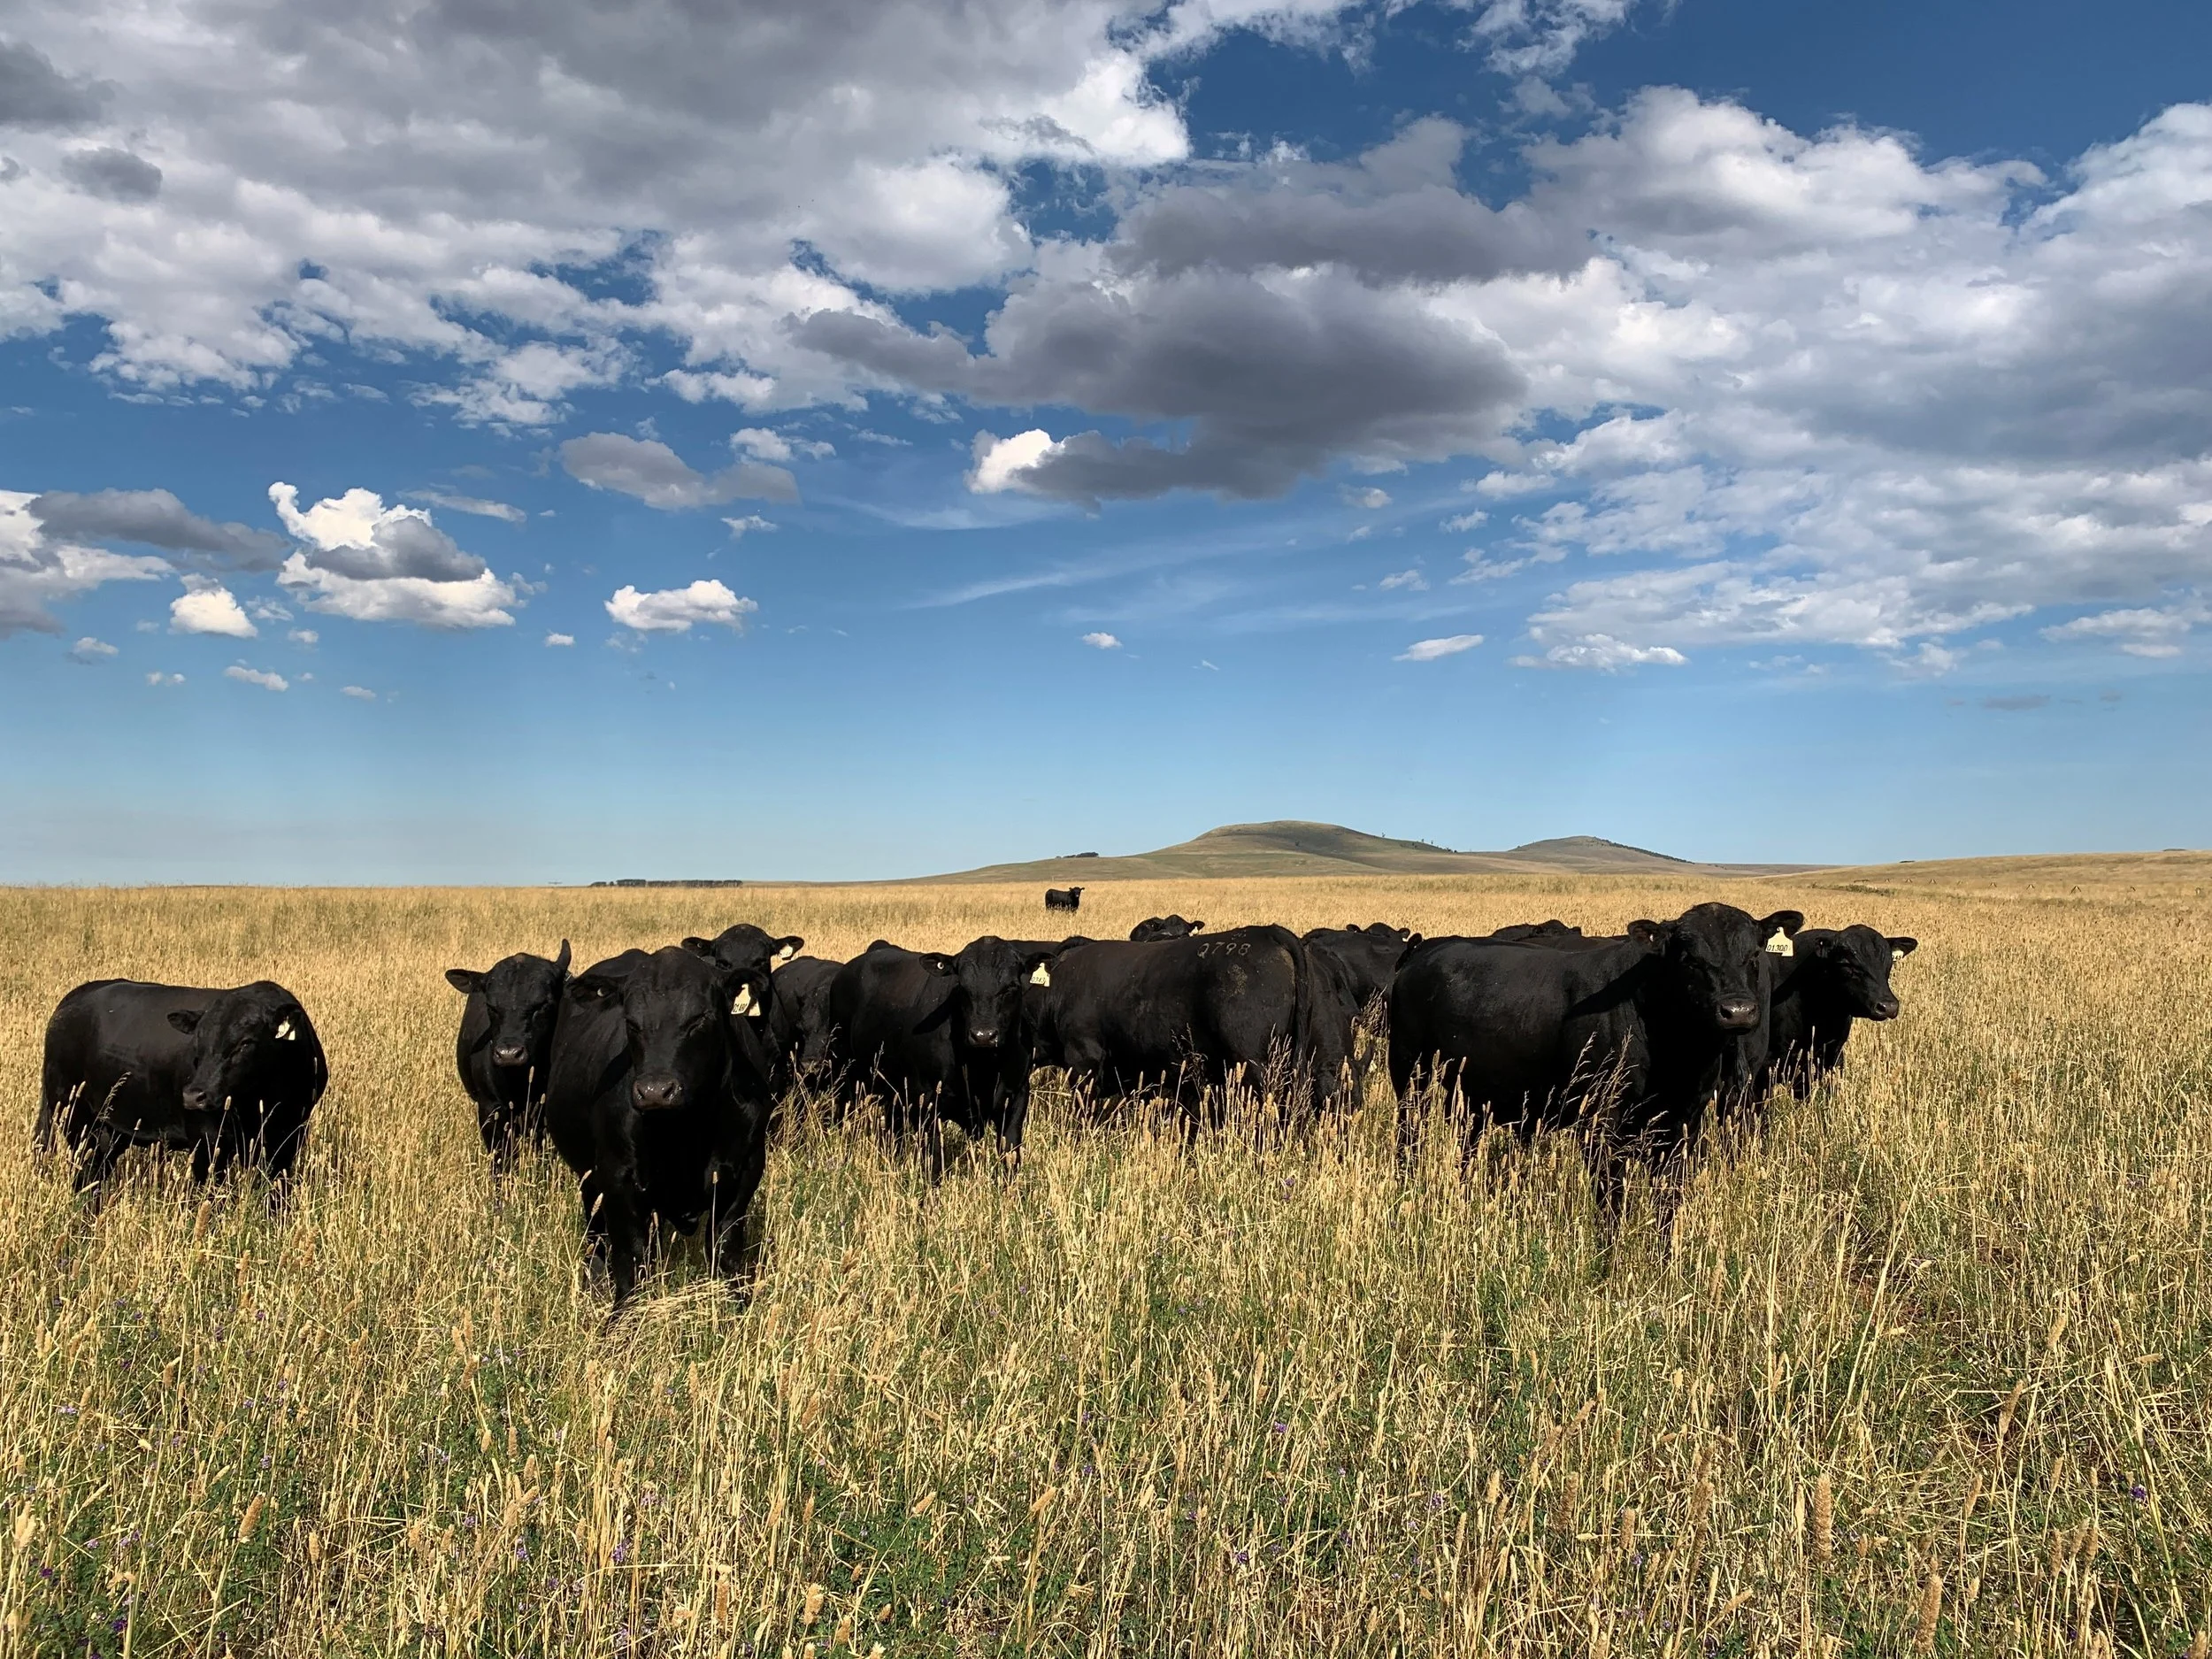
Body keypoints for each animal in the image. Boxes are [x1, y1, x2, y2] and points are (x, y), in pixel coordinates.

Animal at [37, 979, 328, 1199]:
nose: (194, 1095)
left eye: (246, 1043)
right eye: (198, 1041)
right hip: (76, 1118)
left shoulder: (288, 1139)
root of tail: (75, 997)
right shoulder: (206, 1141)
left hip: (109, 1131)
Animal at [542, 946, 775, 1312]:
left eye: (700, 1018)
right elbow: (632, 1263)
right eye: (630, 1022)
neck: (686, 1132)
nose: (655, 1091)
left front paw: (739, 1310)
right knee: (597, 1236)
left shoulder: (745, 1171)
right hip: (590, 1179)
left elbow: (726, 1252)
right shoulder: (618, 1179)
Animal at [826, 935, 1060, 1175]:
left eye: (1011, 987)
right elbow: (934, 1162)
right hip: (844, 1071)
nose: (983, 1036)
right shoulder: (928, 1102)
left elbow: (1010, 1155)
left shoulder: (1016, 1097)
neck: (983, 1068)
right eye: (962, 987)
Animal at [1388, 902, 1802, 1215]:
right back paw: (1405, 1188)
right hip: (1409, 1074)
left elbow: (1668, 1203)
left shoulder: (1683, 1124)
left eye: (1754, 954)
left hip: (1471, 1095)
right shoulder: (1601, 1124)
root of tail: (1424, 952)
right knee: (1408, 1137)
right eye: (1689, 958)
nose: (1738, 1011)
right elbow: (1612, 1203)